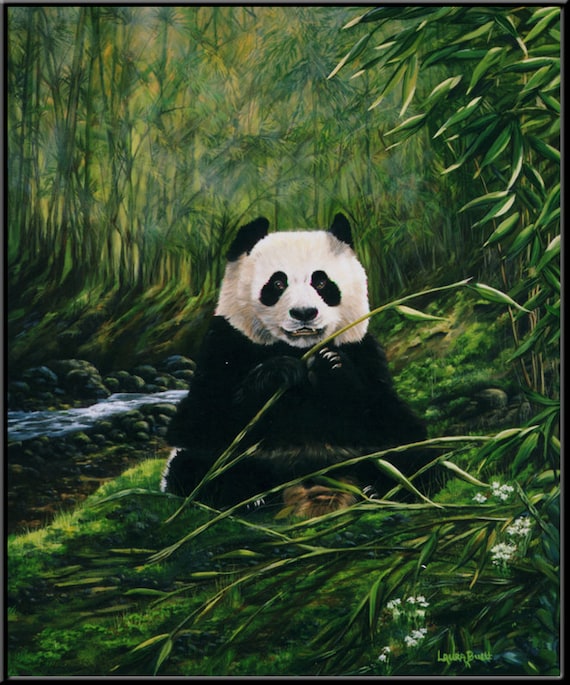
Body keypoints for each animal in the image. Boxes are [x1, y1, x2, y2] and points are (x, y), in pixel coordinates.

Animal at [161, 213, 434, 517]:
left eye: (322, 282)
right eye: (277, 284)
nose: (304, 313)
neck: (298, 348)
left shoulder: (364, 351)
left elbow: (393, 420)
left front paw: (331, 364)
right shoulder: (224, 345)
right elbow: (198, 422)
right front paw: (277, 373)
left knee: (417, 456)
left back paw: (379, 490)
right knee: (196, 466)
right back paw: (247, 500)